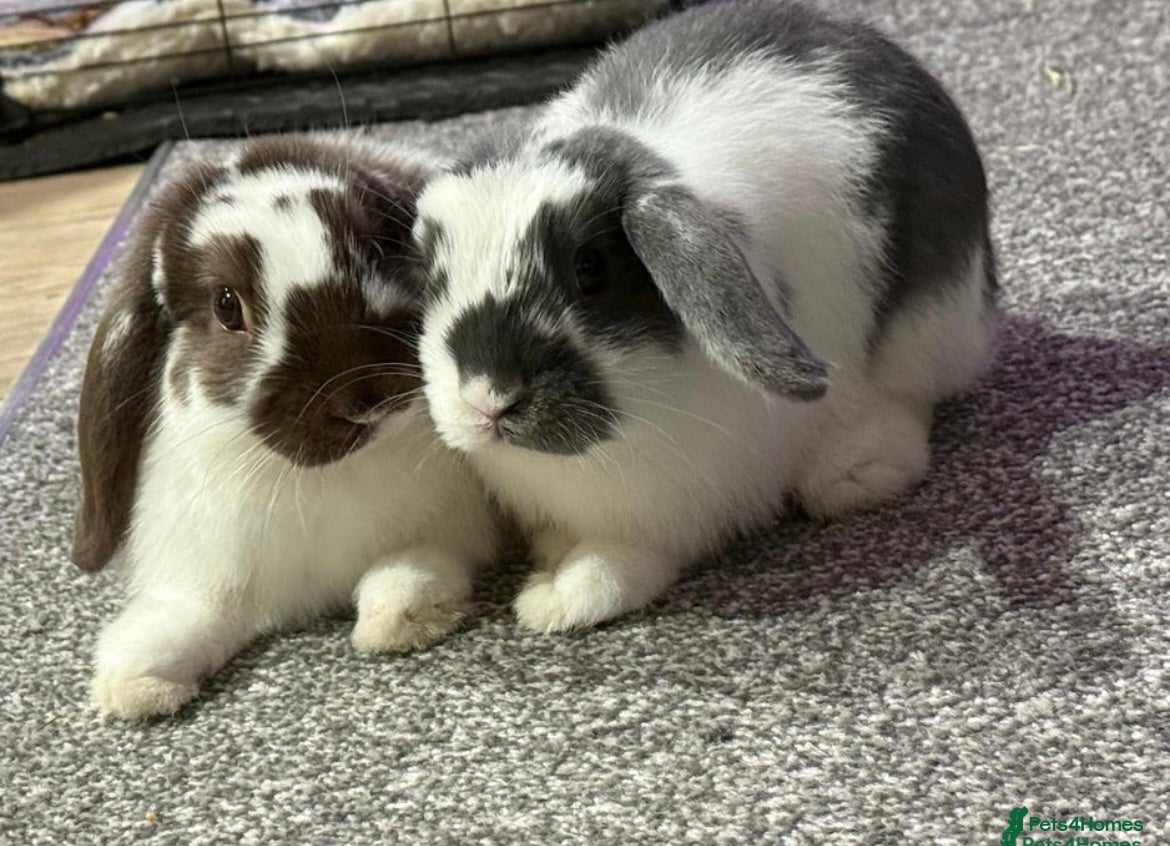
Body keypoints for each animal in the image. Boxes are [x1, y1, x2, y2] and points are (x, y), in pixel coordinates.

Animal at [73, 135, 496, 720]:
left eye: (375, 249)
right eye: (226, 305)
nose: (364, 397)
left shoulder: (453, 527)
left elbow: (412, 569)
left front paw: (400, 617)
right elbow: (197, 614)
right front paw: (135, 680)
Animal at [411, 0, 998, 633]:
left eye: (590, 267)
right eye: (434, 279)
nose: (488, 399)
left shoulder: (671, 514)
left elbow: (621, 562)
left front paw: (557, 599)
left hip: (928, 326)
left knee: (910, 399)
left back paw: (856, 473)